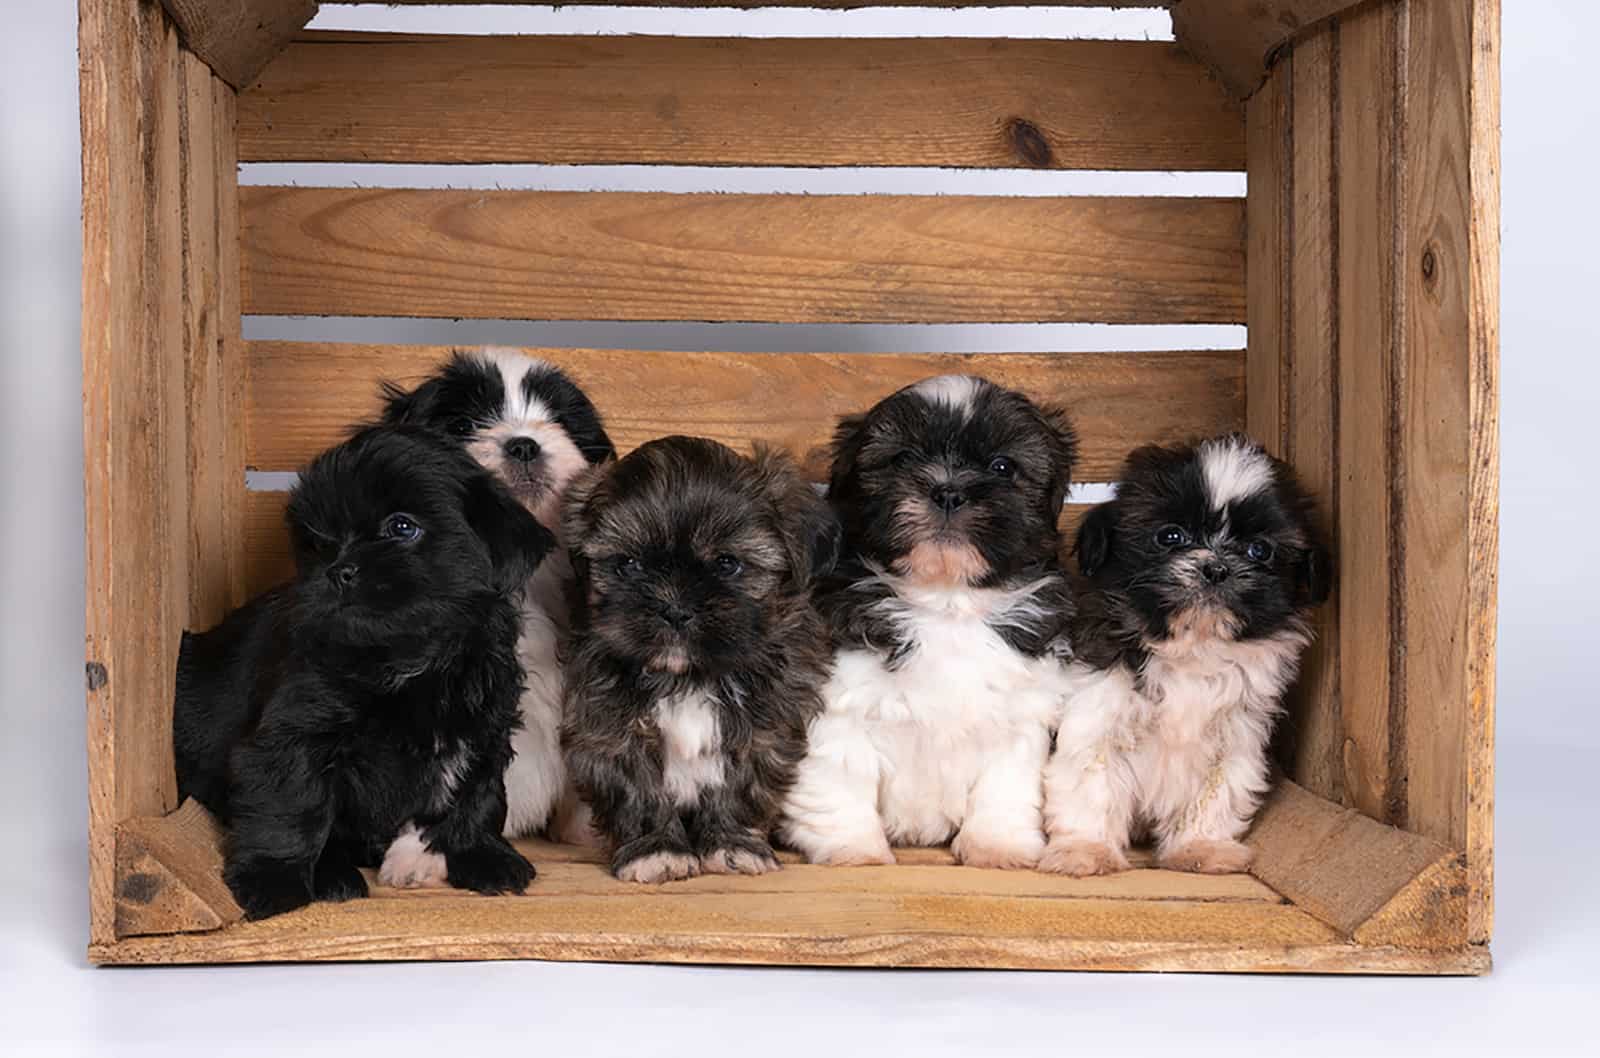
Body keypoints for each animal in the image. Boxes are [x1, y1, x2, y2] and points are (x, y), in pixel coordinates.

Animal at [176, 425, 556, 921]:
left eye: (402, 527)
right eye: (319, 543)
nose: (338, 570)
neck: (409, 660)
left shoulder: (485, 727)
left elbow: (481, 795)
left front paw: (483, 854)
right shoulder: (292, 736)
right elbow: (291, 805)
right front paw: (274, 879)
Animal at [560, 432, 838, 877]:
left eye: (727, 564)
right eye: (629, 564)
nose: (674, 608)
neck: (688, 677)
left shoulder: (765, 726)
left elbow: (740, 786)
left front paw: (732, 844)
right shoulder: (608, 727)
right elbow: (639, 790)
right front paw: (656, 850)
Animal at [780, 376, 1081, 870]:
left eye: (1002, 466)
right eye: (902, 459)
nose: (948, 490)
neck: (946, 602)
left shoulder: (1020, 713)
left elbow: (1005, 784)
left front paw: (998, 845)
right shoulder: (840, 703)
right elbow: (841, 779)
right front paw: (853, 849)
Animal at [1043, 432, 1331, 877]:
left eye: (1259, 551)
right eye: (1170, 537)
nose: (1215, 568)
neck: (1195, 646)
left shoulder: (1236, 736)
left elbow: (1216, 792)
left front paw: (1201, 848)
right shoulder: (1097, 715)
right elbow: (1090, 787)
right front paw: (1084, 851)